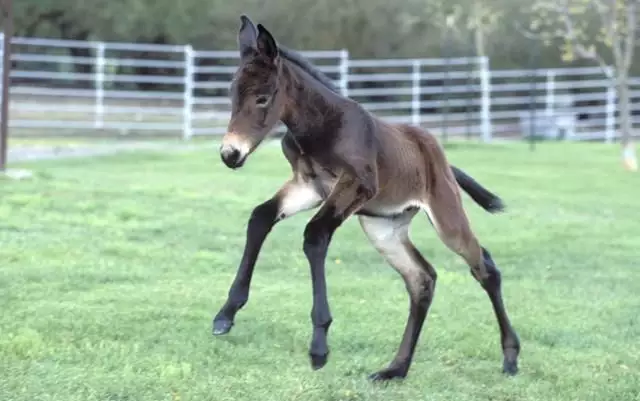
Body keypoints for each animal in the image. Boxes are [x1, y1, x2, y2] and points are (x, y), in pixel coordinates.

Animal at [211, 14, 520, 380]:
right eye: (232, 95)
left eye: (262, 98)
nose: (230, 154)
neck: (320, 126)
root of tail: (434, 149)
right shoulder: (308, 186)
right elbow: (261, 217)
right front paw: (225, 315)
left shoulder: (357, 185)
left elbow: (315, 235)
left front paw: (319, 347)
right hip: (383, 228)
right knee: (422, 279)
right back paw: (395, 369)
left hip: (446, 217)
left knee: (484, 267)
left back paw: (510, 357)